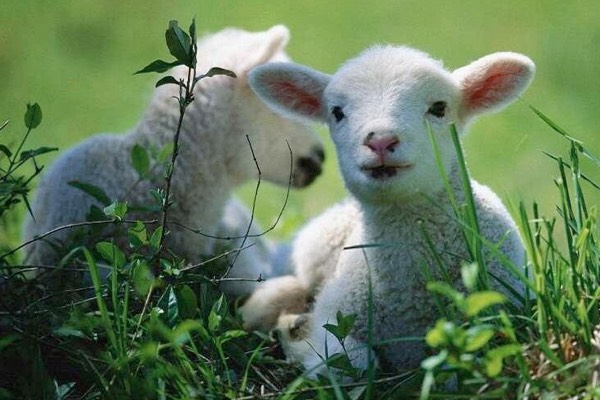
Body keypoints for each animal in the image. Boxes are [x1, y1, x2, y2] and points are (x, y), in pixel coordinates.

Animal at [241, 45, 536, 374]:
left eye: (439, 108)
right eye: (337, 112)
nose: (381, 140)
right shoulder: (335, 314)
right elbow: (353, 362)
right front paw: (298, 338)